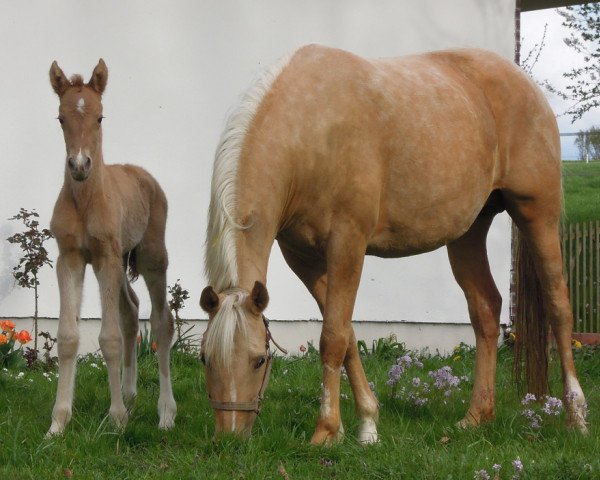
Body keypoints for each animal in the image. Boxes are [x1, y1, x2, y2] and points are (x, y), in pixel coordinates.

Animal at [46, 60, 176, 436]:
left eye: (100, 117)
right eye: (60, 118)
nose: (79, 165)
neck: (86, 200)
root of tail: (142, 174)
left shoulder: (104, 258)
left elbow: (110, 338)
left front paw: (117, 420)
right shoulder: (71, 258)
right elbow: (68, 336)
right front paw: (58, 422)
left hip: (151, 257)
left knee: (161, 321)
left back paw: (165, 413)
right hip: (120, 261)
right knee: (131, 311)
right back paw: (131, 396)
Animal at [202, 44, 584, 442]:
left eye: (259, 359)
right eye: (204, 359)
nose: (229, 436)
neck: (311, 134)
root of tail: (525, 83)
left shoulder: (347, 244)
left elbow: (333, 338)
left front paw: (326, 431)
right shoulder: (303, 259)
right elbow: (347, 335)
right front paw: (366, 424)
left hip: (537, 214)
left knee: (558, 306)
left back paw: (576, 416)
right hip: (469, 232)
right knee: (486, 309)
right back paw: (477, 415)